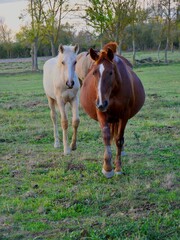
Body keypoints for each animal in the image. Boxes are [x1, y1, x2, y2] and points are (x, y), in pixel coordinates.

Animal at [80, 42, 145, 178]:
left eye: (111, 72)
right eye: (93, 73)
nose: (101, 103)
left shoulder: (124, 116)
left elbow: (119, 139)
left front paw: (118, 168)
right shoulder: (101, 113)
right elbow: (106, 137)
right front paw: (107, 168)